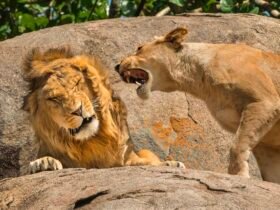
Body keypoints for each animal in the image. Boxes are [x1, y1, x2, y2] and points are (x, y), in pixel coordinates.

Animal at [21, 46, 184, 173]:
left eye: (77, 83)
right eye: (53, 99)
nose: (78, 110)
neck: (93, 140)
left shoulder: (127, 157)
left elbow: (146, 163)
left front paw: (170, 164)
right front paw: (44, 163)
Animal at [115, 27, 280, 183]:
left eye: (139, 48)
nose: (116, 66)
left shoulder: (265, 102)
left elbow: (237, 146)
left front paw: (238, 175)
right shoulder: (266, 142)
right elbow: (271, 173)